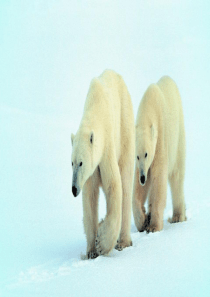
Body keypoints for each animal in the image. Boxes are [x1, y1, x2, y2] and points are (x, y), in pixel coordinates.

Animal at [71, 69, 135, 256]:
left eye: (81, 163)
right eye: (71, 163)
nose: (73, 189)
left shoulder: (107, 147)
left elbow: (114, 185)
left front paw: (102, 242)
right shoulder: (92, 171)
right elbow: (90, 198)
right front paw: (91, 251)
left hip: (125, 130)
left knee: (126, 184)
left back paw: (123, 242)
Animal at [134, 75, 186, 232]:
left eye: (146, 154)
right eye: (137, 156)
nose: (143, 177)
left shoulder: (161, 139)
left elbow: (158, 179)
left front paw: (153, 227)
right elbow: (139, 189)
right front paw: (143, 220)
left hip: (178, 137)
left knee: (177, 176)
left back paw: (178, 216)